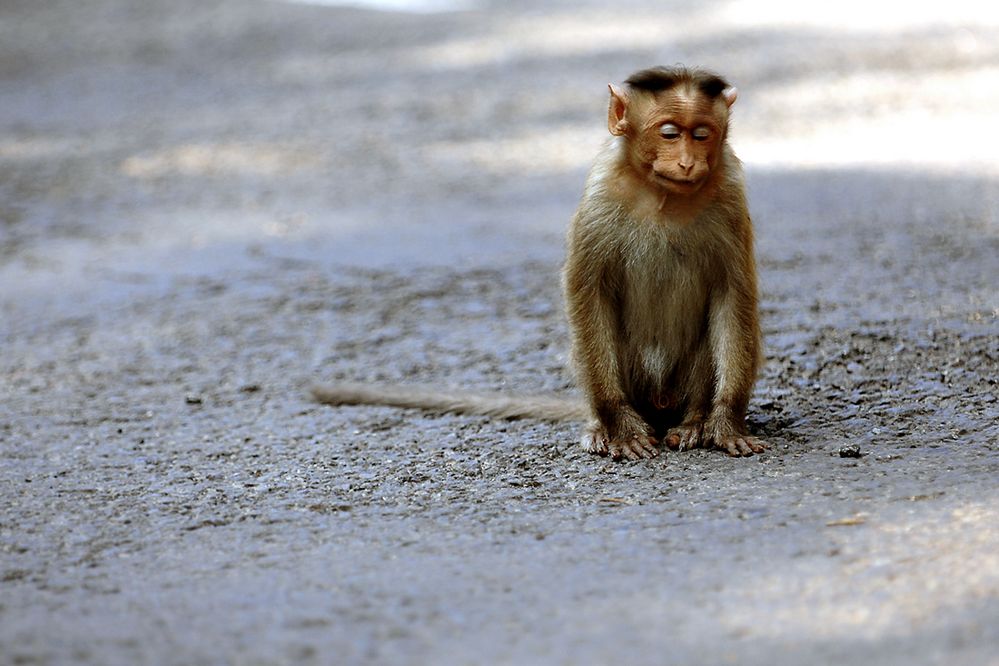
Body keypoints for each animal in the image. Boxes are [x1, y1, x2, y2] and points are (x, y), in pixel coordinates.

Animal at [312, 67, 764, 462]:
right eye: (669, 133)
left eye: (702, 134)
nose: (688, 162)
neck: (662, 196)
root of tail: (658, 406)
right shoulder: (601, 194)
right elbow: (587, 291)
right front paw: (619, 427)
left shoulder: (730, 194)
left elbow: (732, 295)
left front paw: (726, 421)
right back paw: (603, 426)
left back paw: (693, 422)